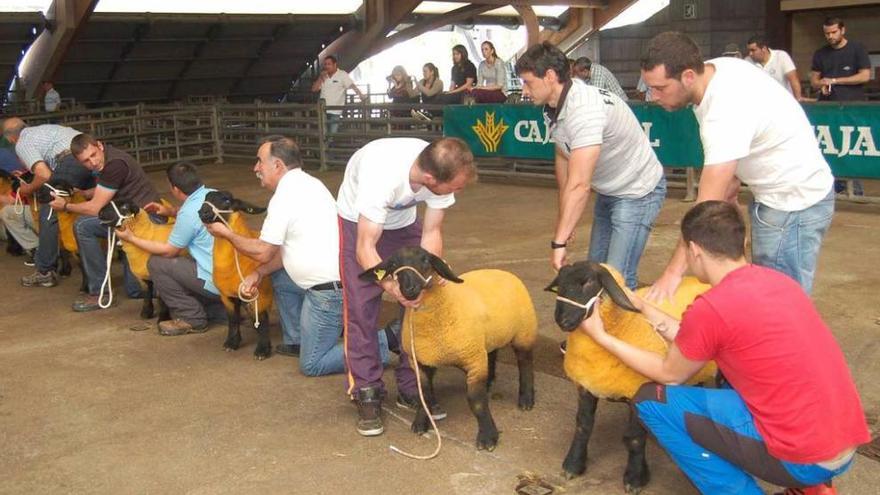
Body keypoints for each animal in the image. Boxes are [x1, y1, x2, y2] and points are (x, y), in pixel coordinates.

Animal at [358, 246, 536, 452]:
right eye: (394, 264)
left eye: (426, 260)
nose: (409, 289)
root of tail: (501, 271)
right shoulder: (421, 363)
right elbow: (425, 395)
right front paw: (421, 423)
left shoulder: (473, 359)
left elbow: (476, 401)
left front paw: (488, 436)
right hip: (488, 337)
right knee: (492, 354)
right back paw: (490, 381)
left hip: (524, 332)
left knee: (525, 363)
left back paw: (526, 399)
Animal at [548, 262, 720, 494]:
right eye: (560, 283)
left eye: (589, 282)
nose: (562, 320)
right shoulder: (586, 386)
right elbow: (583, 425)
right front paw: (573, 465)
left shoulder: (637, 390)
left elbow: (634, 438)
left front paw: (635, 478)